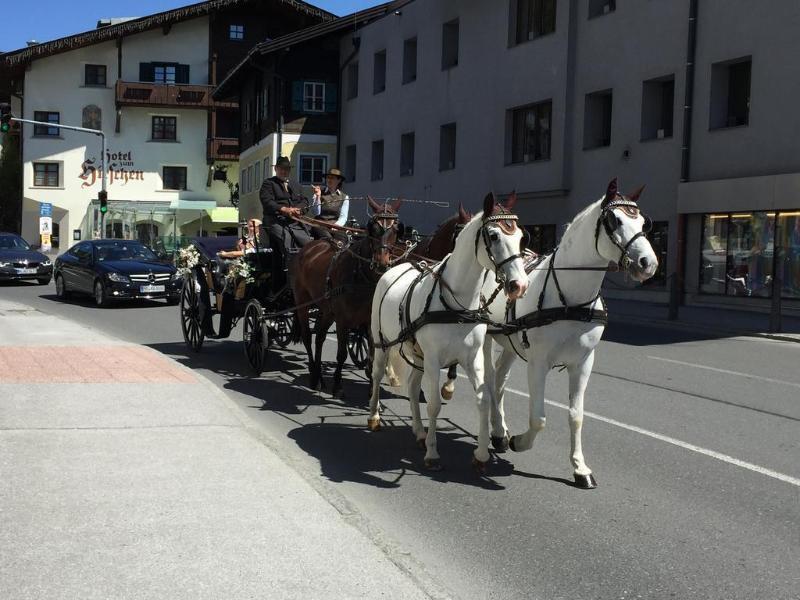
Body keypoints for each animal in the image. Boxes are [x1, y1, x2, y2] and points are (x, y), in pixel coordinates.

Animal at [290, 197, 400, 396]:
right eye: (372, 228)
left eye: (395, 229)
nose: (381, 263)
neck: (361, 276)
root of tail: (308, 248)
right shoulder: (343, 321)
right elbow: (341, 354)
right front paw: (337, 385)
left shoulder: (369, 323)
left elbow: (372, 354)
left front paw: (372, 390)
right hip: (302, 302)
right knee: (308, 337)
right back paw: (313, 375)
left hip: (327, 310)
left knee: (320, 337)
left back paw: (319, 376)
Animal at [368, 195, 532, 472]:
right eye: (493, 235)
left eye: (521, 236)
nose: (519, 285)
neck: (457, 305)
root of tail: (392, 268)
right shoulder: (434, 359)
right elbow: (434, 404)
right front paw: (433, 454)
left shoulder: (472, 358)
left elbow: (483, 399)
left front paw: (481, 455)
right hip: (383, 343)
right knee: (377, 374)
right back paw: (374, 417)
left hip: (418, 354)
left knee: (413, 386)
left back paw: (419, 432)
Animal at [482, 179, 656, 488]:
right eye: (614, 220)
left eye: (643, 222)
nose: (648, 263)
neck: (570, 299)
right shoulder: (538, 363)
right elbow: (538, 418)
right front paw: (520, 442)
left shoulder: (583, 362)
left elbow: (576, 416)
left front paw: (580, 468)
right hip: (486, 336)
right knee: (490, 382)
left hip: (512, 342)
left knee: (500, 381)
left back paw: (499, 432)